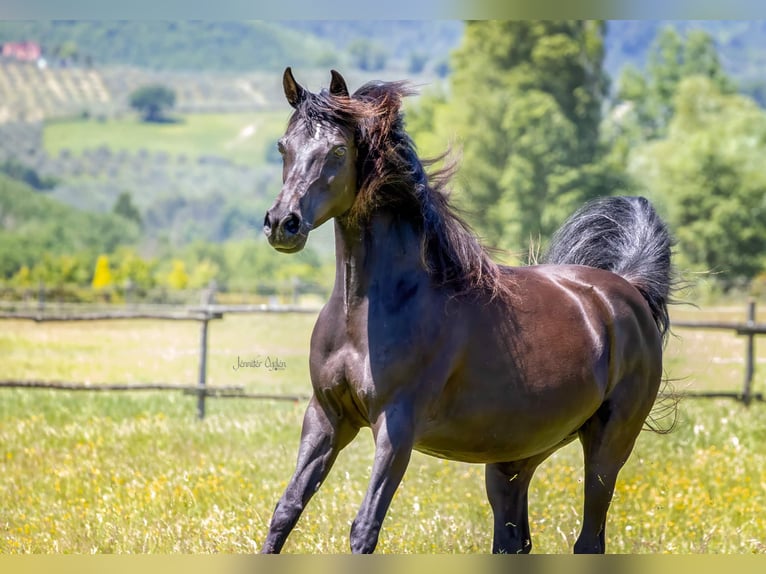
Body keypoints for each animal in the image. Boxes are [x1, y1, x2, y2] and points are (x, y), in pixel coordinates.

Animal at [260, 67, 674, 554]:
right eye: (284, 146)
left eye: (338, 150)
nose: (282, 224)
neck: (371, 311)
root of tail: (627, 290)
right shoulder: (327, 417)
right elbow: (285, 511)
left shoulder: (396, 425)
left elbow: (365, 528)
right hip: (515, 457)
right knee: (514, 540)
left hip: (609, 442)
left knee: (589, 539)